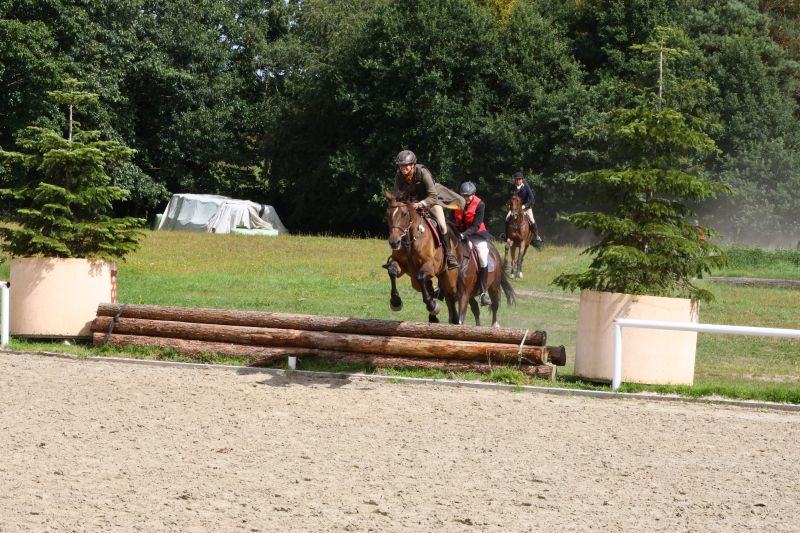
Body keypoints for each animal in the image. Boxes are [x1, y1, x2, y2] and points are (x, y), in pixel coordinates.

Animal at [383, 192, 460, 324]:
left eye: (404, 214)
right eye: (388, 214)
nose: (394, 242)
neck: (409, 240)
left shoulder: (431, 266)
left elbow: (420, 276)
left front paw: (432, 305)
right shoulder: (401, 265)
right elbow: (392, 271)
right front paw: (395, 302)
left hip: (449, 277)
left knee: (450, 295)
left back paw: (453, 318)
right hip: (415, 282)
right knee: (428, 286)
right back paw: (433, 316)